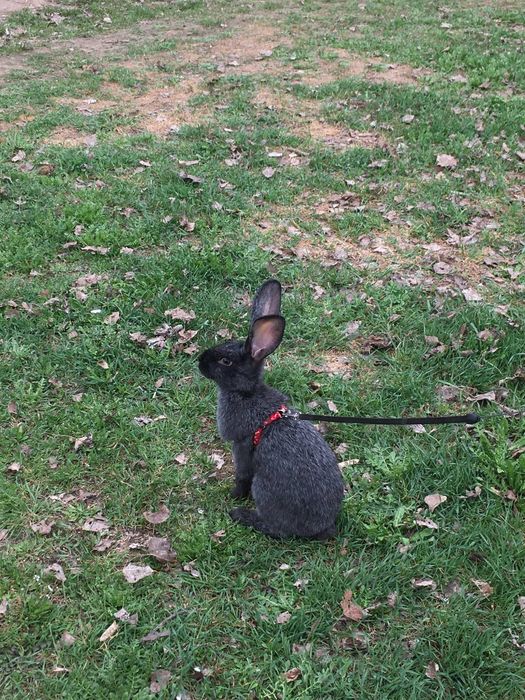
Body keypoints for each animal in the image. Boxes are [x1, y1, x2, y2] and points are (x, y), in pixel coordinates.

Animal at [198, 280, 344, 539]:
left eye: (225, 361)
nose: (199, 361)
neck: (246, 392)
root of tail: (322, 527)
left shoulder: (241, 444)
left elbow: (242, 475)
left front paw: (234, 495)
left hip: (263, 489)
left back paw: (242, 515)